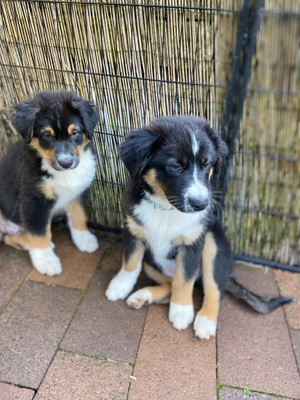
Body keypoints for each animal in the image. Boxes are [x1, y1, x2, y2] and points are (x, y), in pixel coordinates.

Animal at [0, 90, 101, 276]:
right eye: (47, 135)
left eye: (74, 133)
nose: (66, 162)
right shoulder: (33, 200)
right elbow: (38, 232)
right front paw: (46, 261)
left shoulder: (78, 191)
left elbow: (79, 216)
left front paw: (84, 239)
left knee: (9, 237)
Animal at [106, 115, 292, 340]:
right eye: (175, 166)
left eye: (207, 164)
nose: (201, 204)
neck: (166, 208)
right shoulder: (134, 230)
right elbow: (131, 262)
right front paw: (119, 286)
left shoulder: (193, 242)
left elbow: (184, 279)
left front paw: (182, 311)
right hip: (152, 262)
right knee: (169, 284)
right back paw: (143, 296)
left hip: (213, 245)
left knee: (213, 290)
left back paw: (205, 321)